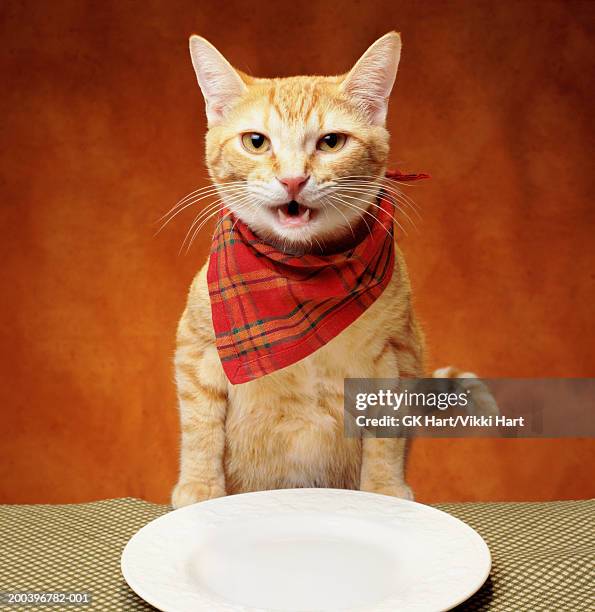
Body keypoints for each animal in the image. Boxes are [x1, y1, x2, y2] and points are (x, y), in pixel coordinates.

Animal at [172, 32, 428, 506]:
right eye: (256, 141)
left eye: (331, 142)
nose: (293, 180)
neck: (300, 277)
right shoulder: (196, 348)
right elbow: (200, 428)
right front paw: (200, 490)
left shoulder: (397, 356)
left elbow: (386, 439)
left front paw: (384, 490)